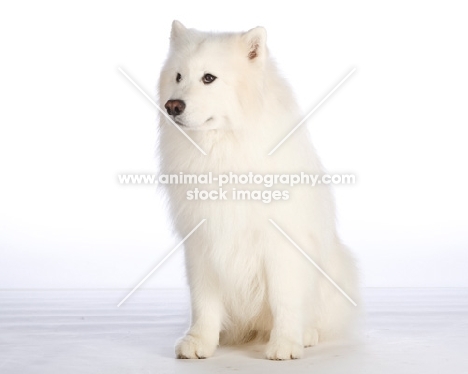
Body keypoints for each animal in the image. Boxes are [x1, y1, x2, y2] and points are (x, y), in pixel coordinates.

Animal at [159, 20, 360, 360]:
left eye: (209, 78)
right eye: (178, 76)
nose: (172, 106)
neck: (222, 151)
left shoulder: (280, 244)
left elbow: (285, 299)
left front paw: (285, 344)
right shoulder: (202, 242)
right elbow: (203, 301)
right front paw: (200, 342)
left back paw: (306, 334)